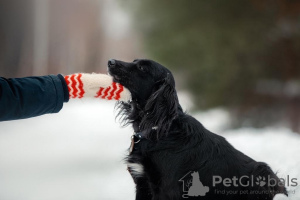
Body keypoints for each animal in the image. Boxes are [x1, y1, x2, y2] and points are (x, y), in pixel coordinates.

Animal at [107, 59, 286, 200]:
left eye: (142, 68)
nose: (110, 61)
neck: (158, 129)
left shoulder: (167, 189)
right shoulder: (142, 184)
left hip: (262, 172)